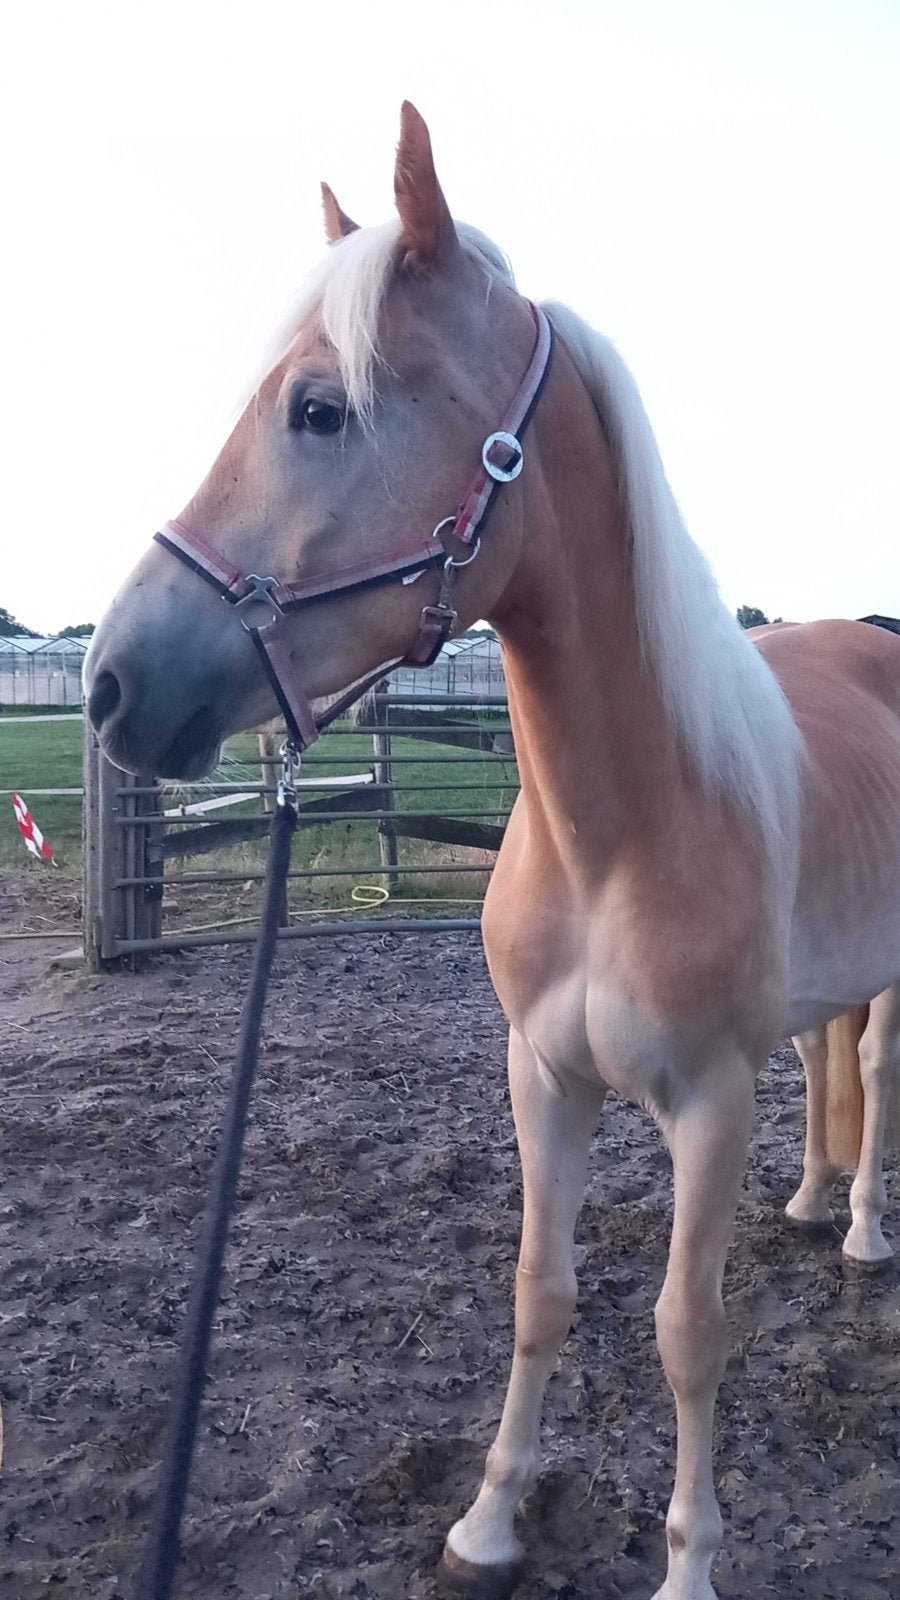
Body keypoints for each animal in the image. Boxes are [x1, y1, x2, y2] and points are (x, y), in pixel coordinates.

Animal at [84, 104, 900, 1600]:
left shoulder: (707, 1104)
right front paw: (489, 1519)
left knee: (868, 1066)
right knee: (831, 1062)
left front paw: (690, 1562)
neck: (616, 833)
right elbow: (540, 1292)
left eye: (319, 408)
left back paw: (866, 1227)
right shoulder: (543, 1076)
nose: (113, 684)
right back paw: (818, 1203)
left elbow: (686, 1328)